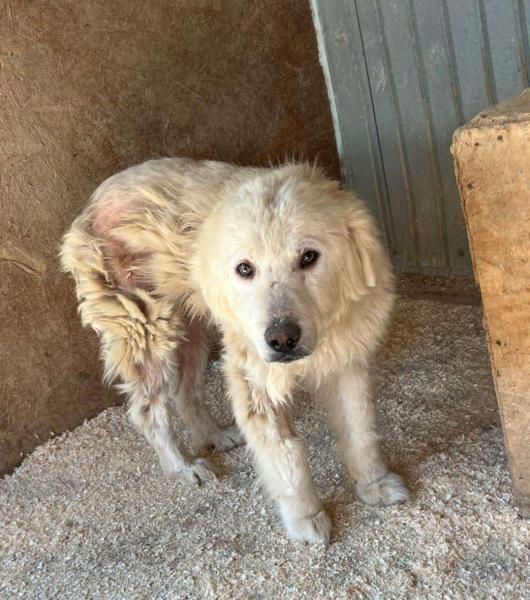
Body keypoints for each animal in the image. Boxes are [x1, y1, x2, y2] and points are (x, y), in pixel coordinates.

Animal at [60, 157, 409, 544]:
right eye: (245, 268)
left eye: (308, 257)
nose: (281, 339)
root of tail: (93, 202)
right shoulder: (256, 381)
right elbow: (285, 457)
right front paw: (305, 519)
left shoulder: (347, 362)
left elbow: (360, 432)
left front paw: (374, 485)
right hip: (147, 330)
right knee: (149, 411)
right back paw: (183, 467)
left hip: (191, 332)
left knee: (185, 391)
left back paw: (213, 437)